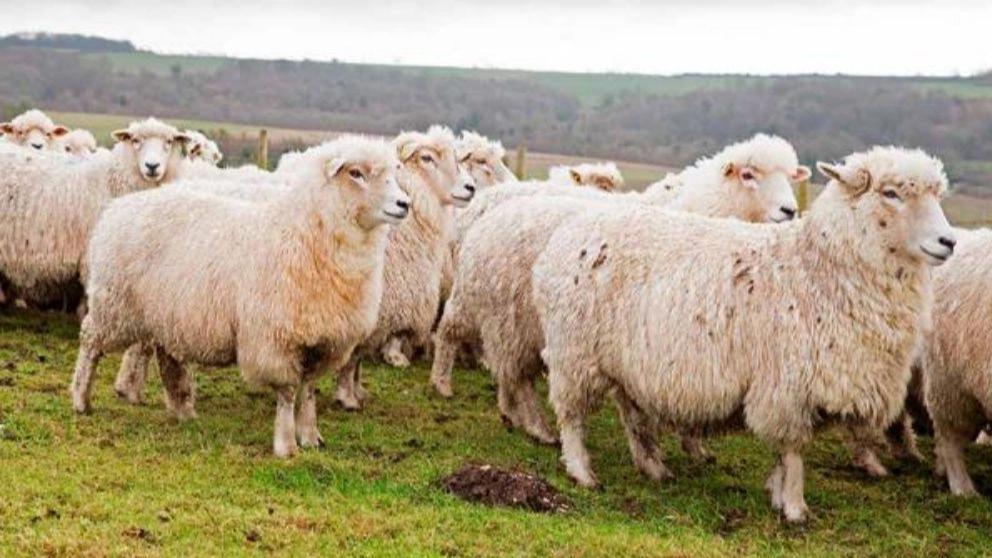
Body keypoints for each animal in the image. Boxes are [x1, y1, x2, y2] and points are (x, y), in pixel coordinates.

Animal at [70, 135, 410, 457]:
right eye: (356, 173)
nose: (404, 203)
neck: (304, 234)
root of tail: (118, 209)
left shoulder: (323, 339)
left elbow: (309, 390)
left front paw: (311, 437)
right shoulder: (275, 339)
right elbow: (288, 392)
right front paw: (286, 444)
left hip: (168, 314)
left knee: (169, 360)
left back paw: (182, 410)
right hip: (114, 304)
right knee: (90, 343)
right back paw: (81, 399)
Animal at [333, 125, 476, 410]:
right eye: (427, 158)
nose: (471, 187)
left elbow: (359, 359)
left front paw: (358, 392)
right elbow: (353, 359)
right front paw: (348, 397)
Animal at [430, 135, 810, 449]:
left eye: (791, 176)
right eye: (748, 175)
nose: (789, 210)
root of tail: (491, 202)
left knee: (511, 370)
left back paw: (519, 416)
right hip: (491, 303)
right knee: (451, 332)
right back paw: (446, 384)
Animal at [530, 146, 954, 521]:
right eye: (891, 193)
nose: (948, 242)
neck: (816, 270)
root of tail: (568, 231)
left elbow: (784, 454)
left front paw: (778, 494)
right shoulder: (786, 386)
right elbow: (793, 450)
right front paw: (795, 507)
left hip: (624, 363)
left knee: (633, 417)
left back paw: (654, 468)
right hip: (574, 351)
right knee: (571, 416)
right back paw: (581, 471)